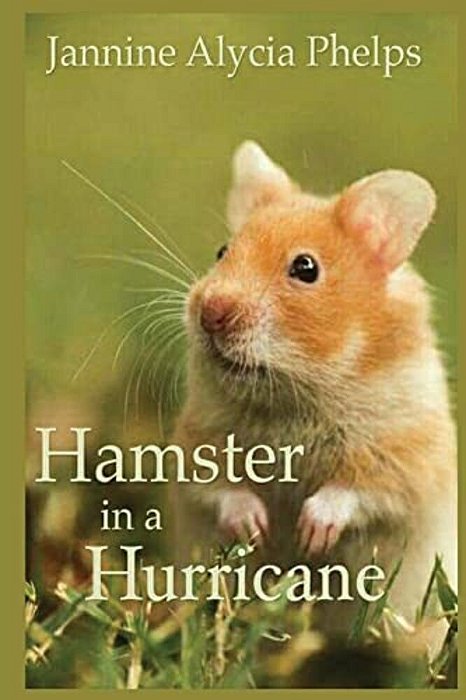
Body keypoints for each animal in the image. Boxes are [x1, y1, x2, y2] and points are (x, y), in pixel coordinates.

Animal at [172, 141, 456, 643]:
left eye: (305, 268)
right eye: (222, 251)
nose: (211, 312)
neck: (293, 396)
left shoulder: (408, 457)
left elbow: (357, 489)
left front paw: (310, 533)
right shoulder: (195, 442)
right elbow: (219, 486)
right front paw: (256, 528)